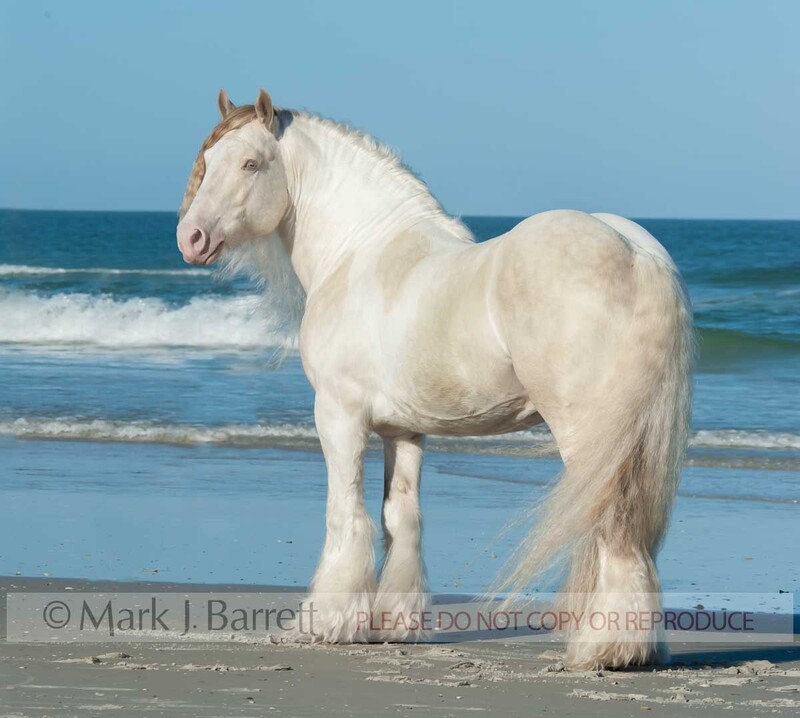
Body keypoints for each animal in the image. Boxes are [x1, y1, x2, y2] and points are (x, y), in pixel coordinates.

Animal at [176, 88, 693, 669]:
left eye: (250, 163)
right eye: (209, 159)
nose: (191, 238)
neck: (361, 250)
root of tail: (636, 253)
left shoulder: (338, 415)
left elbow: (346, 516)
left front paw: (325, 623)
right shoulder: (403, 431)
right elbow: (400, 519)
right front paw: (394, 625)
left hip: (589, 433)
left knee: (612, 526)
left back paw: (606, 649)